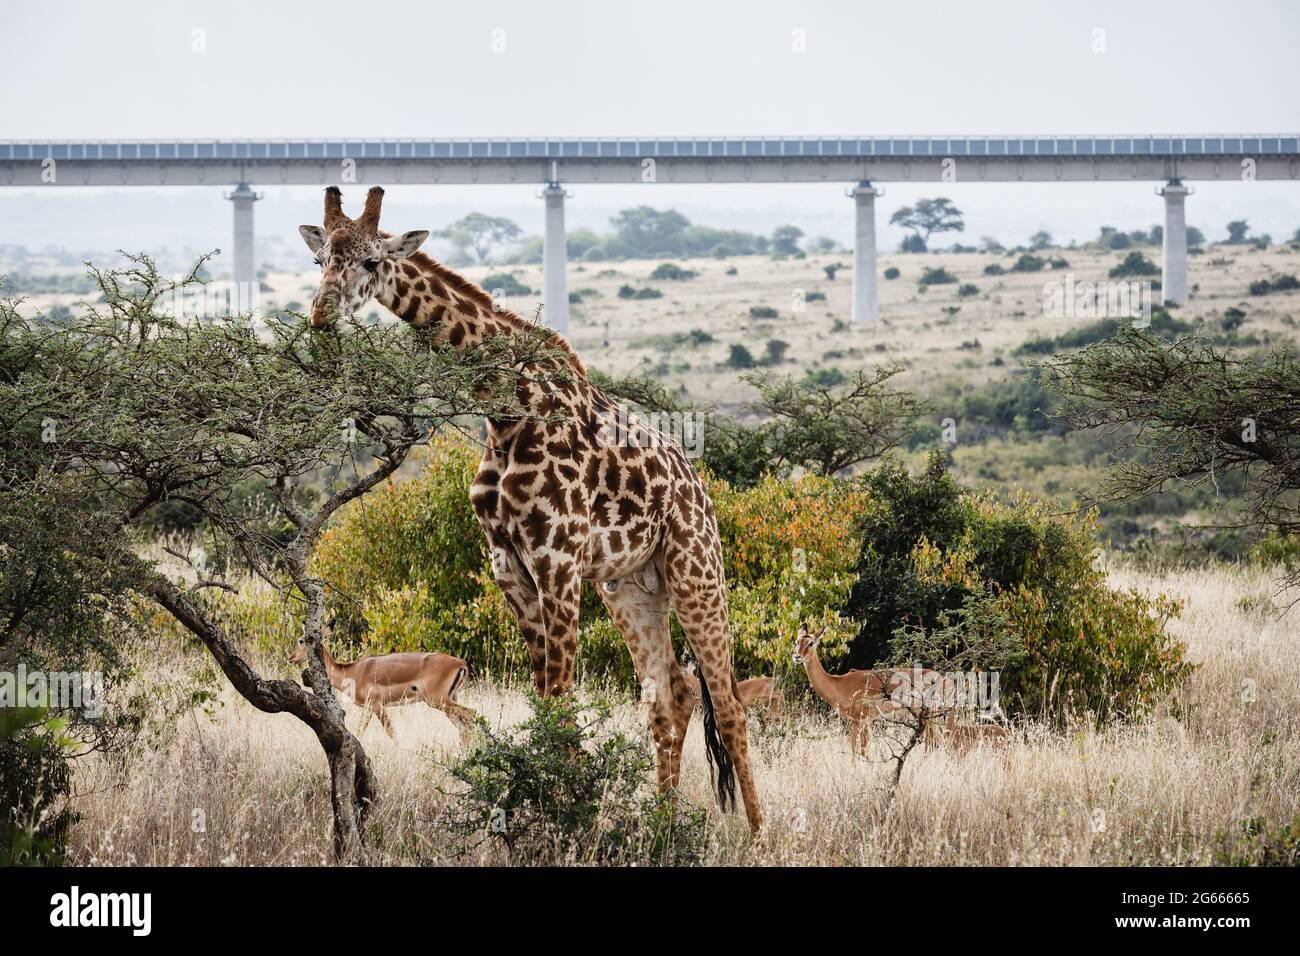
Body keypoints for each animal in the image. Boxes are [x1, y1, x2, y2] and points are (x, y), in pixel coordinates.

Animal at [295, 187, 759, 832]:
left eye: (370, 260)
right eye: (320, 260)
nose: (320, 316)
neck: (507, 409)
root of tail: (702, 492)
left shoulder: (557, 562)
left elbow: (560, 703)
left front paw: (568, 821)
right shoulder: (508, 565)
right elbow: (544, 704)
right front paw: (546, 816)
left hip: (697, 574)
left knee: (730, 702)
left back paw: (758, 833)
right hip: (632, 588)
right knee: (671, 698)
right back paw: (665, 827)